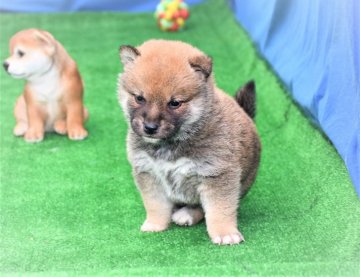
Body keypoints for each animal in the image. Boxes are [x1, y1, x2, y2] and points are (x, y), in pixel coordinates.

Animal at [118, 39, 262, 244]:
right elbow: (155, 205)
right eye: (139, 98)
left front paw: (225, 233)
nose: (150, 127)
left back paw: (187, 214)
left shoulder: (217, 175)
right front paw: (155, 224)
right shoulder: (148, 173)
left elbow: (220, 209)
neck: (172, 143)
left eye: (174, 103)